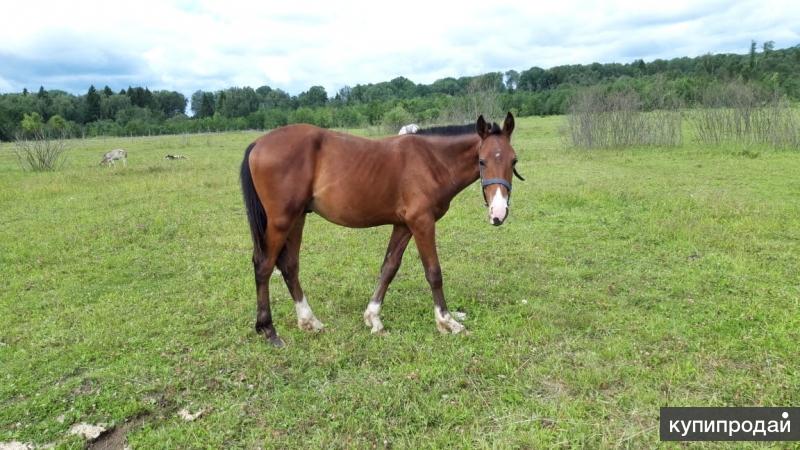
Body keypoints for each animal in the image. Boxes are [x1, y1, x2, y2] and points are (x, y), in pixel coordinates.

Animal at [241, 111, 520, 344]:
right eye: (482, 161)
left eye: (513, 161)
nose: (498, 213)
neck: (430, 161)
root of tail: (258, 143)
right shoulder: (422, 222)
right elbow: (433, 272)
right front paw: (447, 322)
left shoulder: (403, 225)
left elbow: (389, 267)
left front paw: (373, 318)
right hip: (281, 221)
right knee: (264, 265)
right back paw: (268, 330)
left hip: (298, 218)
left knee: (289, 266)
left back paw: (309, 321)